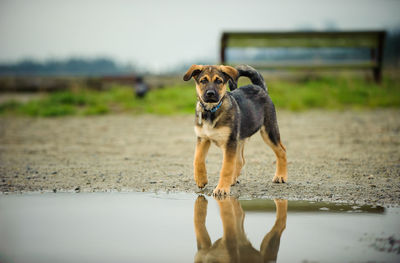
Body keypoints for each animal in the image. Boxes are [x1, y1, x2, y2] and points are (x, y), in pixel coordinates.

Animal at [184, 64, 288, 196]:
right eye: (203, 81)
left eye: (219, 81)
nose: (210, 93)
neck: (211, 111)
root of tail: (260, 88)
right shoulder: (203, 138)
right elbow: (197, 159)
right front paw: (201, 180)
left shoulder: (229, 142)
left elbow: (226, 167)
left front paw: (222, 188)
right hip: (240, 138)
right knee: (240, 160)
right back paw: (233, 180)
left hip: (268, 131)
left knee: (281, 151)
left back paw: (281, 176)